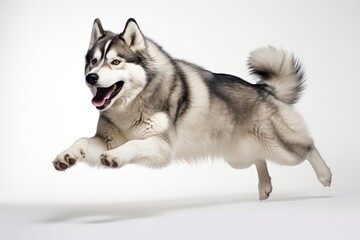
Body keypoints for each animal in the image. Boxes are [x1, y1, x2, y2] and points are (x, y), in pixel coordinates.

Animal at [52, 17, 332, 200]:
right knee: (259, 158)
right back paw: (265, 187)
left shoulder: (161, 147)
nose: (91, 78)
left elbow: (133, 144)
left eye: (115, 62)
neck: (130, 107)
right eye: (93, 62)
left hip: (280, 148)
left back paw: (325, 175)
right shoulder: (106, 139)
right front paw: (67, 155)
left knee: (308, 147)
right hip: (238, 157)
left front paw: (117, 156)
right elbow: (83, 141)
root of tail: (264, 89)